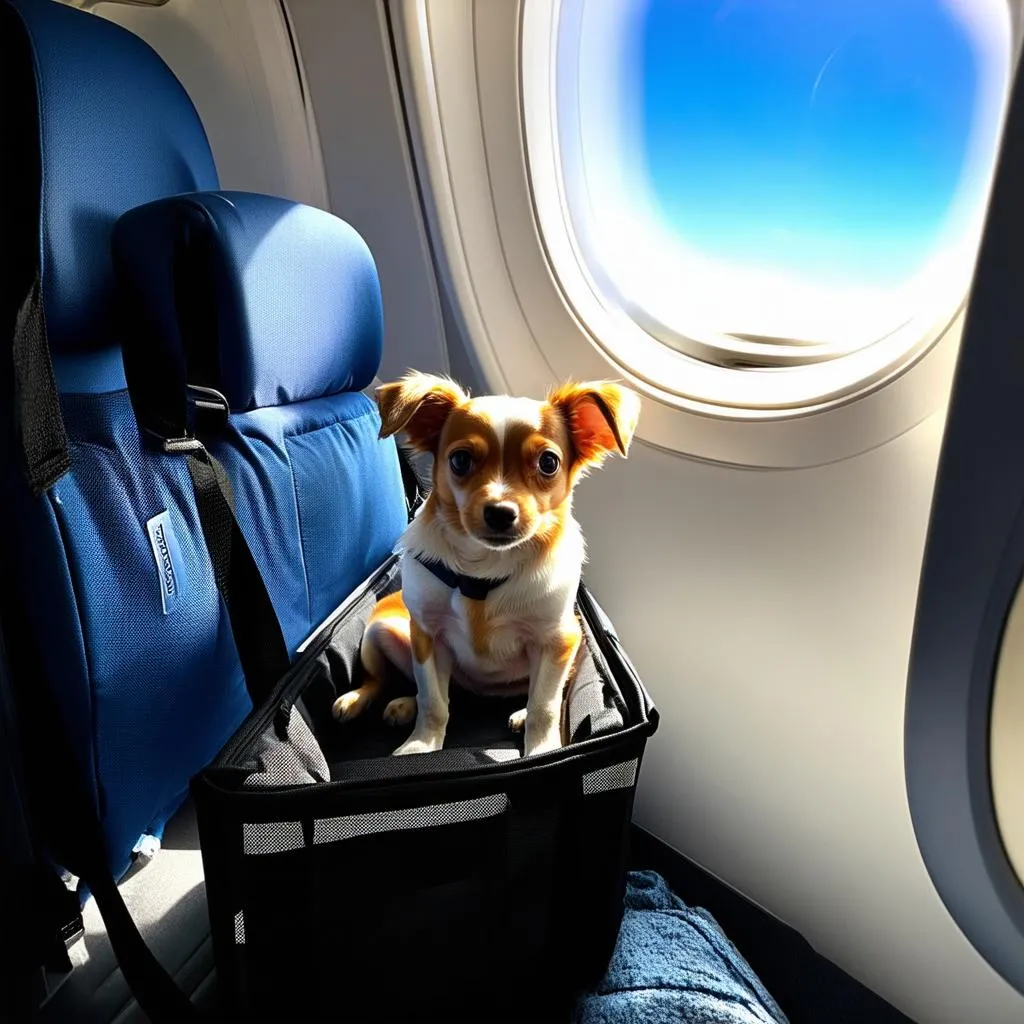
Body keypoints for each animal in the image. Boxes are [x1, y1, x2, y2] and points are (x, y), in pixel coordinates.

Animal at [331, 372, 638, 757]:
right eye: (460, 460)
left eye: (548, 463)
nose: (500, 512)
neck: (485, 568)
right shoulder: (427, 636)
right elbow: (433, 700)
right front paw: (422, 744)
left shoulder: (556, 641)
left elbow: (545, 706)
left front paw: (541, 748)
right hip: (378, 632)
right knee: (400, 683)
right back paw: (374, 701)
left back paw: (518, 713)